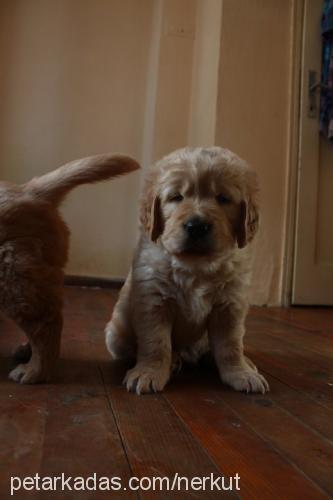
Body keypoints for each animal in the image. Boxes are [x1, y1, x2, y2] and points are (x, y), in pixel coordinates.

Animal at [105, 146, 268, 396]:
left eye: (223, 199)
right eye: (176, 197)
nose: (197, 226)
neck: (196, 266)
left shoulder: (229, 305)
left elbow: (230, 346)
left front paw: (240, 373)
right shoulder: (153, 301)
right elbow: (156, 344)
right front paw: (149, 372)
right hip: (116, 334)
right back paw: (173, 360)